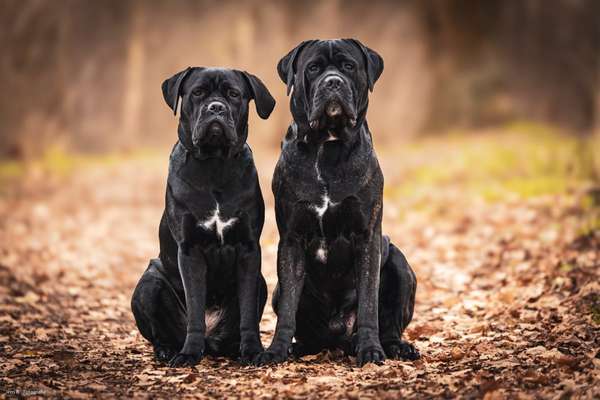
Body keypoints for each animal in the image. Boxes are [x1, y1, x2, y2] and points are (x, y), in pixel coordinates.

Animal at [132, 67, 276, 368]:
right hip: (148, 283)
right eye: (197, 92)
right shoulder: (190, 250)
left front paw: (253, 350)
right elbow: (195, 308)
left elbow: (247, 312)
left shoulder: (248, 250)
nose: (216, 108)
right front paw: (188, 353)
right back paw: (168, 350)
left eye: (233, 94)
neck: (215, 165)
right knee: (161, 333)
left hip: (262, 282)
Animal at [255, 39, 420, 368]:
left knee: (389, 324)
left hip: (398, 262)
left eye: (348, 66)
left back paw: (394, 346)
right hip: (278, 292)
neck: (327, 147)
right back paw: (298, 348)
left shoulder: (367, 237)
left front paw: (371, 351)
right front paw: (276, 351)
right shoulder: (291, 240)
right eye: (313, 68)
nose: (333, 82)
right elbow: (288, 310)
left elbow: (369, 304)